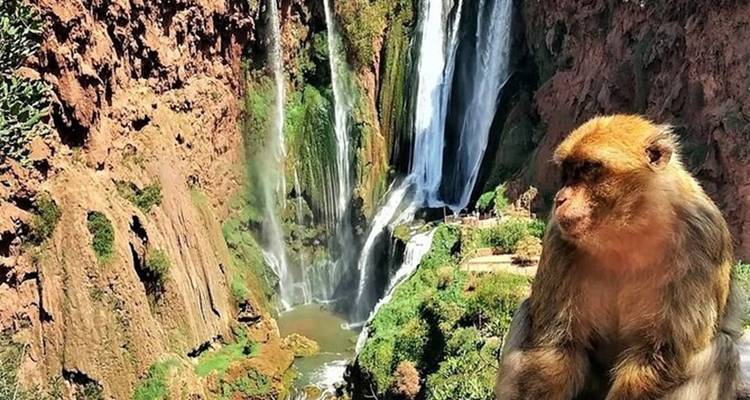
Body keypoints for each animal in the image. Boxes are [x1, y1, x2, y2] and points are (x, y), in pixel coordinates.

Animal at [494, 115, 744, 400]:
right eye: (568, 172)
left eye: (588, 169)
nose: (560, 199)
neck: (630, 229)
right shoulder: (558, 238)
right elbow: (557, 345)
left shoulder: (701, 237)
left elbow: (661, 351)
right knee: (527, 311)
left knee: (721, 349)